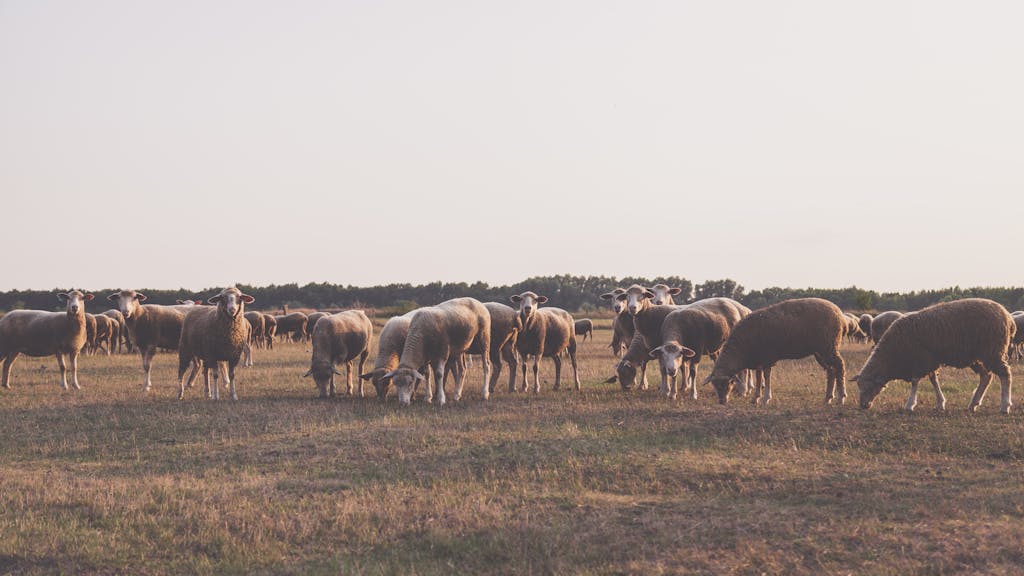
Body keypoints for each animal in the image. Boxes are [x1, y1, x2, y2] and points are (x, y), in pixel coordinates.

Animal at [704, 298, 847, 406]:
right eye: (714, 385)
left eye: (727, 384)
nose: (722, 402)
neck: (740, 349)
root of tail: (838, 312)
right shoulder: (759, 360)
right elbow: (759, 378)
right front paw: (756, 398)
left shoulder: (767, 358)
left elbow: (766, 377)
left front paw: (766, 398)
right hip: (821, 351)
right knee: (831, 371)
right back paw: (827, 398)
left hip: (828, 346)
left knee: (840, 366)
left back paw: (841, 397)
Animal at [852, 298, 1016, 414]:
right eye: (859, 386)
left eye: (869, 386)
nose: (863, 405)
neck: (892, 354)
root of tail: (1008, 318)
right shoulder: (930, 360)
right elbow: (933, 380)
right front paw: (940, 403)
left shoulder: (920, 360)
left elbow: (915, 382)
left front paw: (910, 404)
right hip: (977, 356)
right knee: (986, 376)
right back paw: (973, 404)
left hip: (993, 351)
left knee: (1005, 375)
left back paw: (1005, 406)